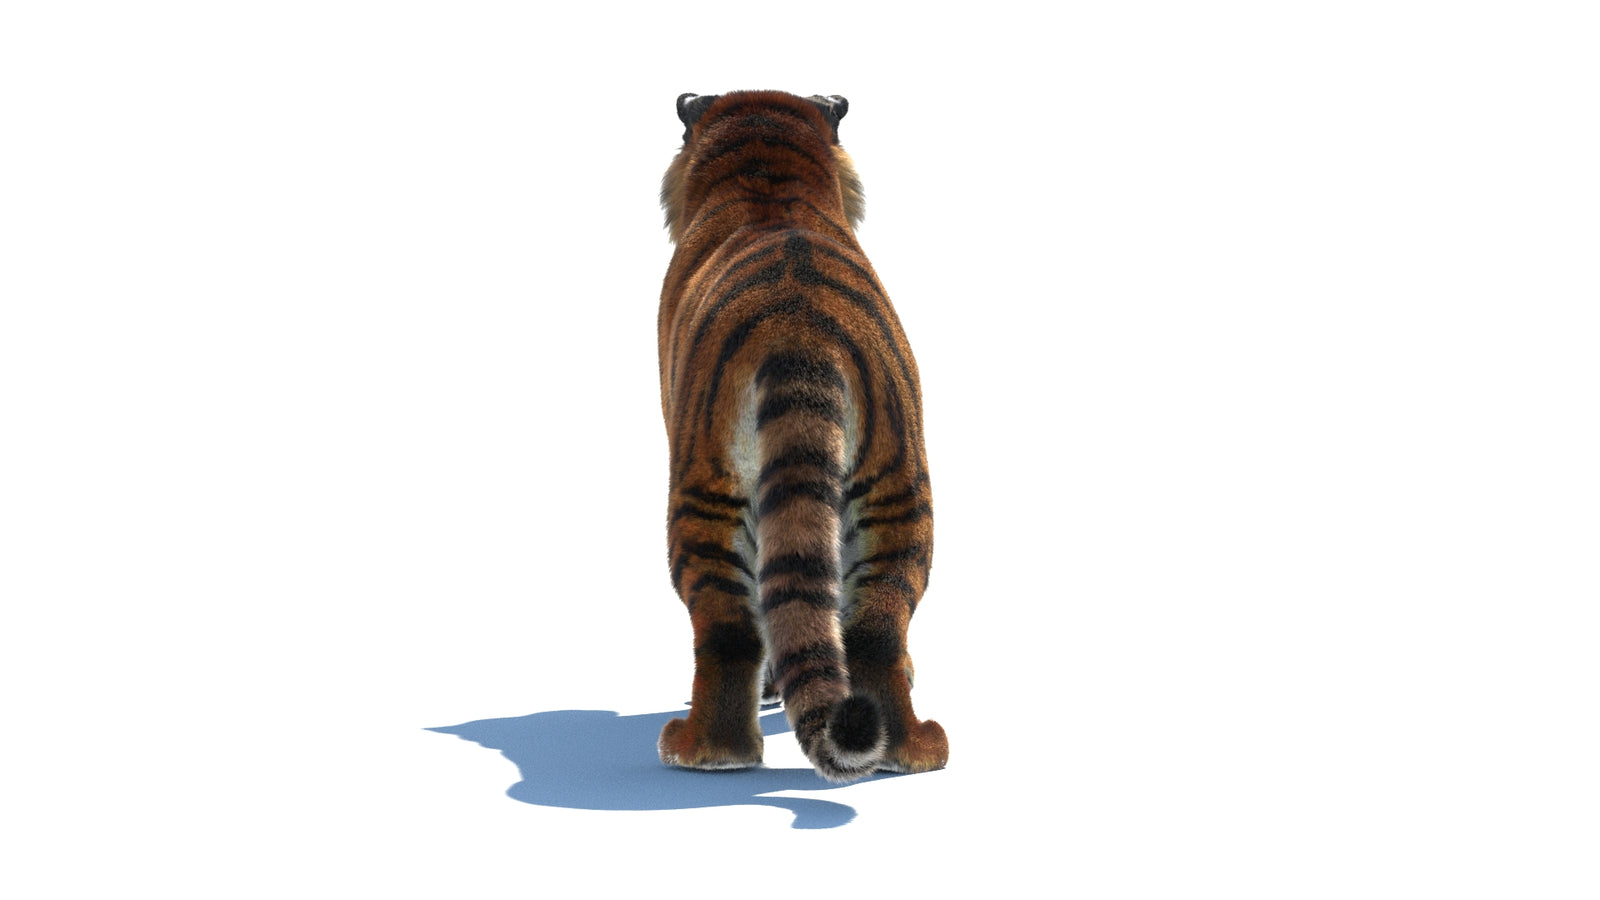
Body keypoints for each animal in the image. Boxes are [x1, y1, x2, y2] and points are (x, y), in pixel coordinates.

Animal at [655, 90, 947, 783]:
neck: (769, 177)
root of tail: (802, 330)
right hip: (901, 495)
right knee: (876, 627)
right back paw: (912, 751)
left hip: (703, 502)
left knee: (729, 629)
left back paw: (701, 751)